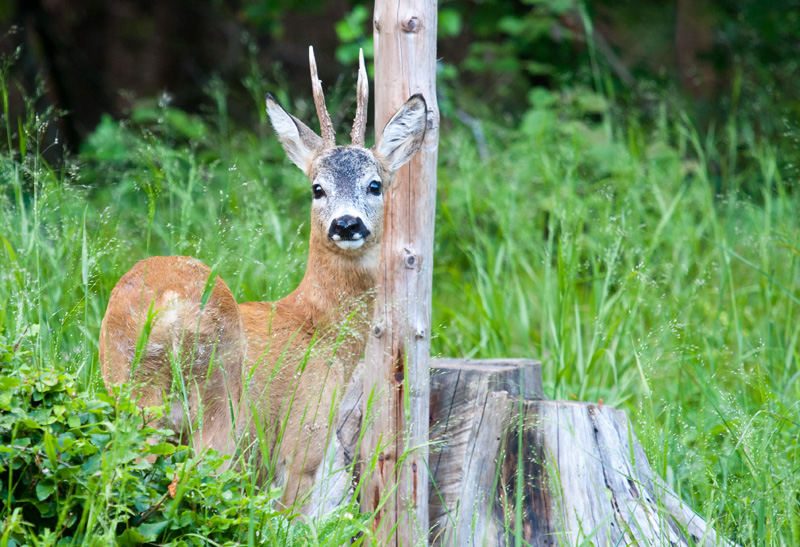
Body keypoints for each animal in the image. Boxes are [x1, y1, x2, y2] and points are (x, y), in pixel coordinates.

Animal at [98, 47, 432, 510]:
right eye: (317, 188)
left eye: (375, 184)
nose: (347, 224)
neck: (319, 328)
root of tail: (164, 304)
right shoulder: (302, 442)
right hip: (219, 399)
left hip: (126, 389)